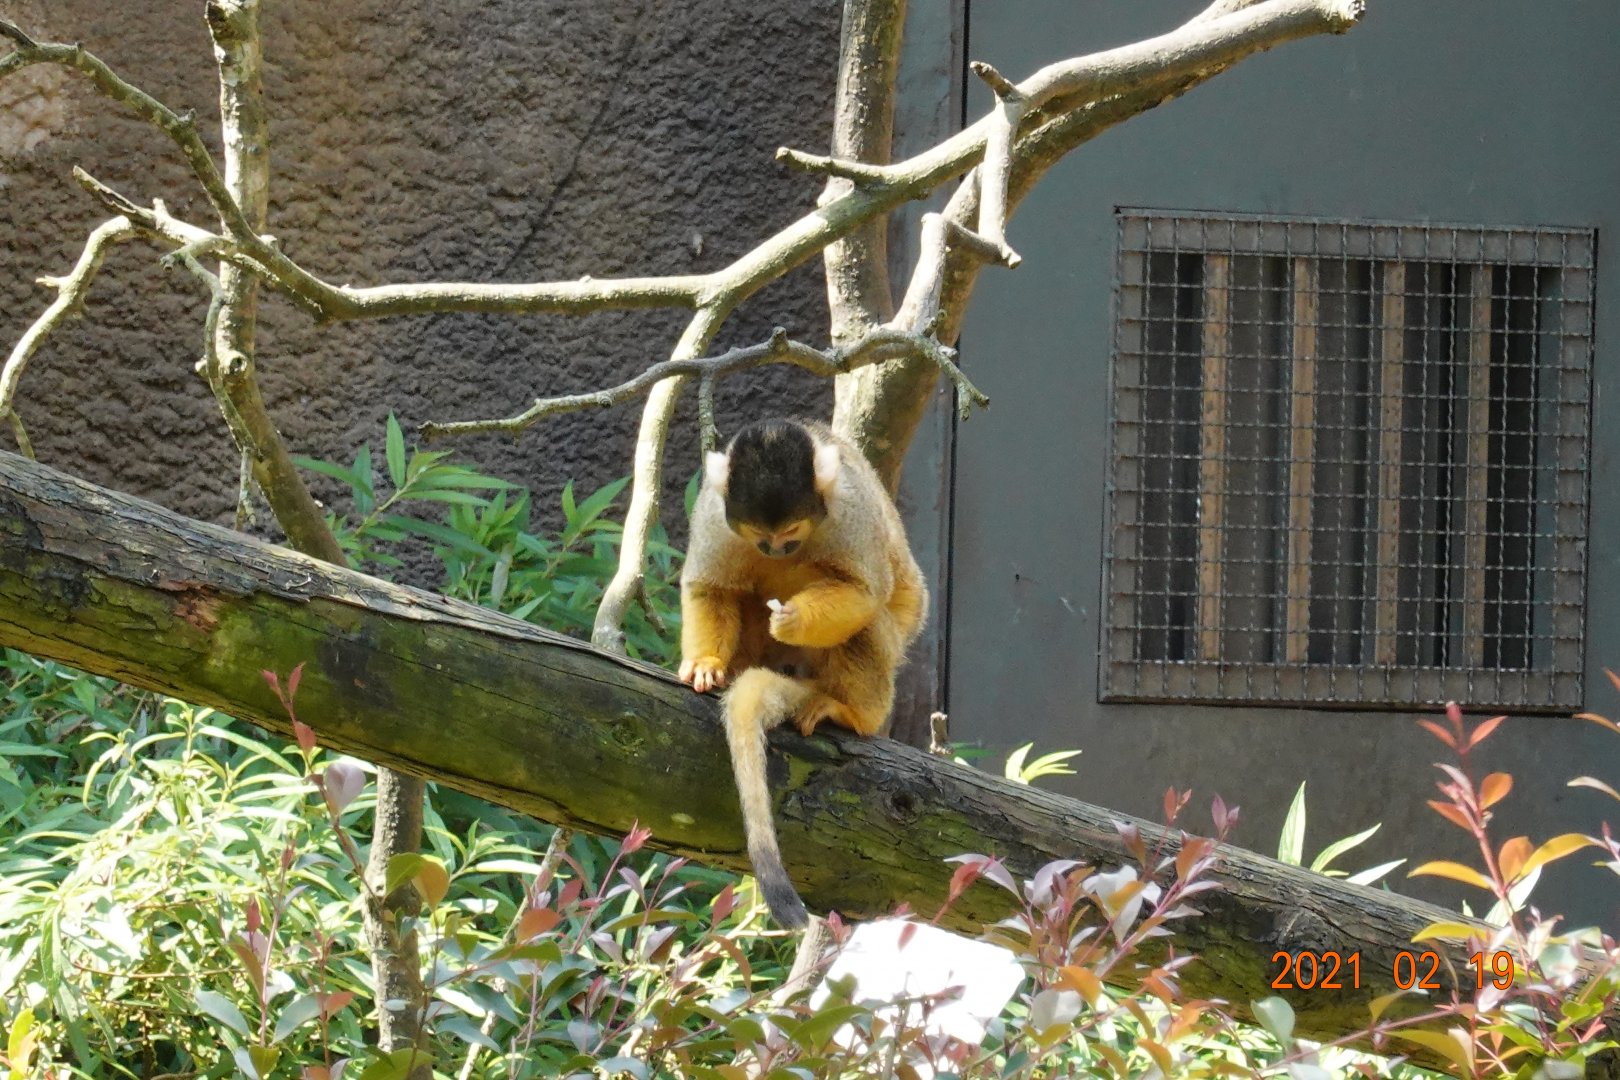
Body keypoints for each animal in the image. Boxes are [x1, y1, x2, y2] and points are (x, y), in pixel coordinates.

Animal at [678, 417, 928, 928]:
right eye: (759, 532)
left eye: (792, 529)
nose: (776, 548)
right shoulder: (715, 512)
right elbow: (710, 587)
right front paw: (706, 664)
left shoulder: (849, 512)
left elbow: (863, 591)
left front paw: (792, 620)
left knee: (870, 618)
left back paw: (855, 712)